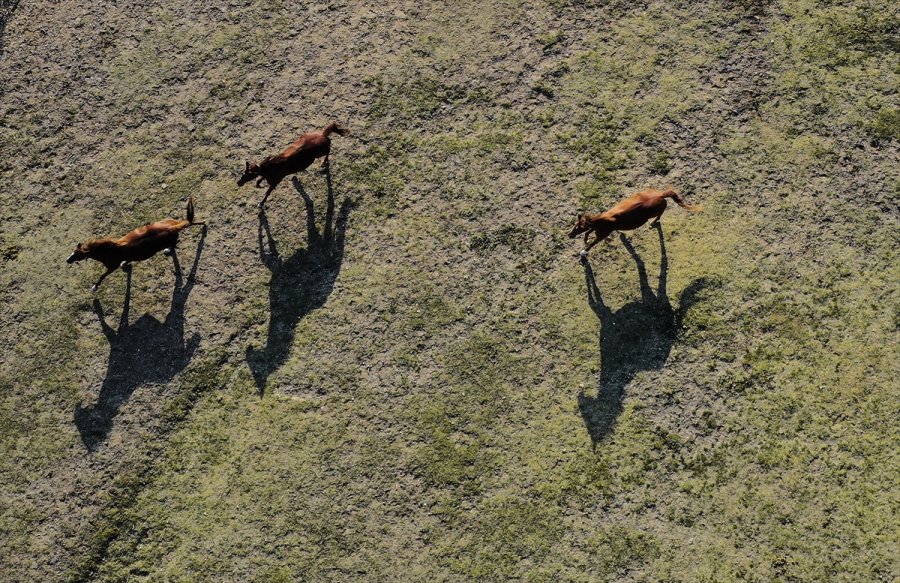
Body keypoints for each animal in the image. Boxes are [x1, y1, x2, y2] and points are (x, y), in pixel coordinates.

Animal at [68, 200, 206, 290]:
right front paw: (126, 264)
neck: (110, 250)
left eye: (77, 255)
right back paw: (203, 224)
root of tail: (172, 227)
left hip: (171, 239)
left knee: (177, 241)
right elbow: (127, 260)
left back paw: (168, 249)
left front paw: (94, 287)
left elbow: (102, 276)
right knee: (189, 223)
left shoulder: (112, 267)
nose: (67, 260)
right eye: (73, 251)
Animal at [568, 189, 704, 258]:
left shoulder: (602, 235)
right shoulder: (599, 230)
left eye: (578, 227)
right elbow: (588, 233)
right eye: (575, 226)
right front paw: (585, 241)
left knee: (660, 214)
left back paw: (653, 223)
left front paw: (583, 252)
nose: (569, 235)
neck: (603, 219)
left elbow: (591, 243)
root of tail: (660, 195)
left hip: (658, 211)